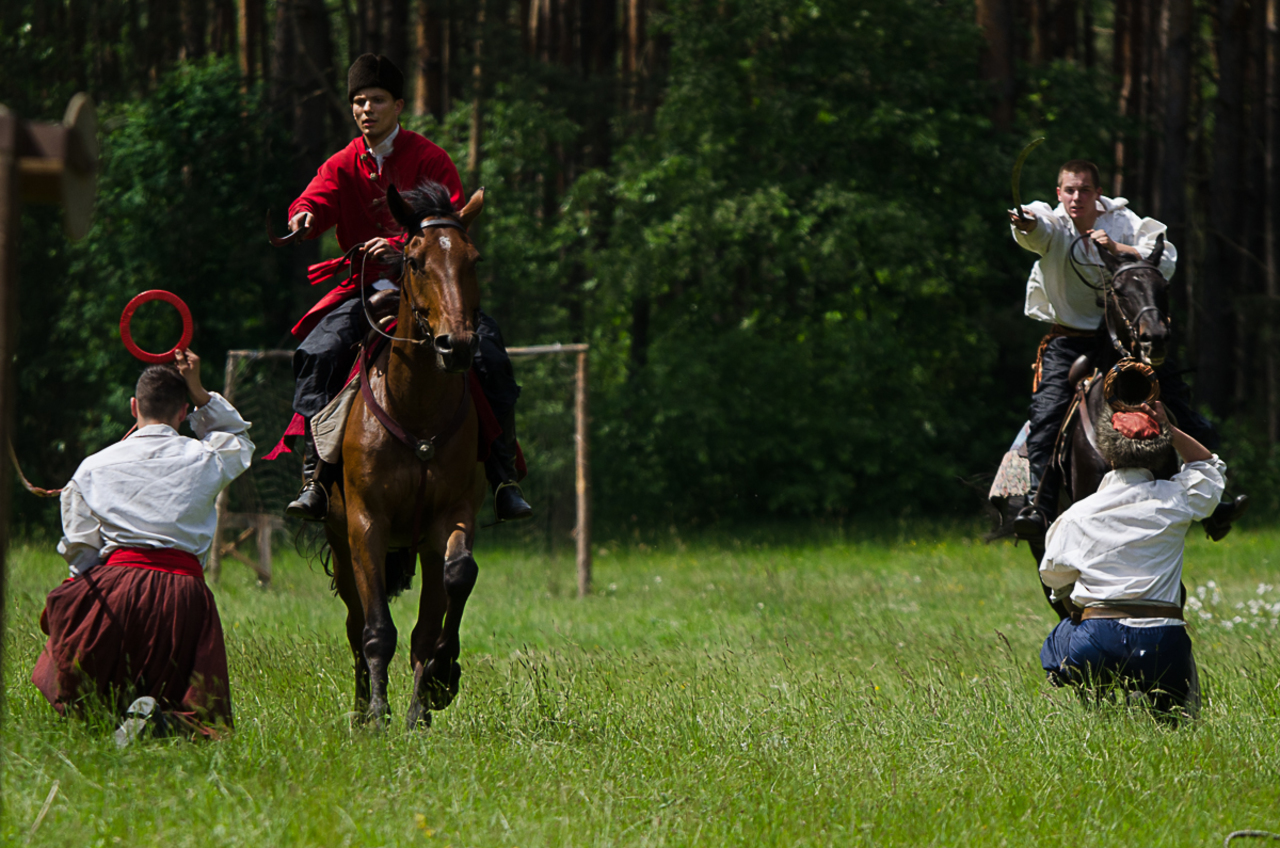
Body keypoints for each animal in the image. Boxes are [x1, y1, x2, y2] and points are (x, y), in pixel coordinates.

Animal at [325, 183, 488, 727]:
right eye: (415, 261)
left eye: (473, 260)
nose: (457, 346)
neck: (415, 410)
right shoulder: (365, 524)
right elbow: (376, 628)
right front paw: (378, 712)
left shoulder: (451, 515)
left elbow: (458, 578)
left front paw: (438, 682)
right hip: (340, 543)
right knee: (356, 625)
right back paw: (361, 708)